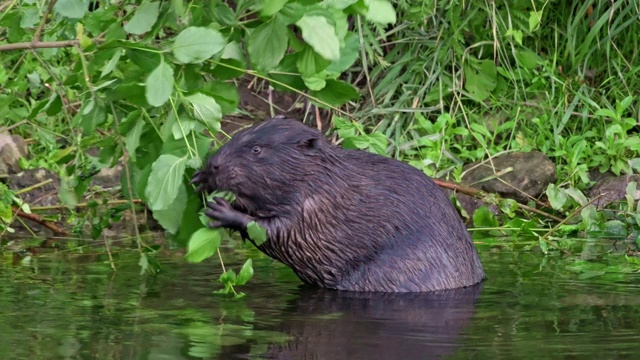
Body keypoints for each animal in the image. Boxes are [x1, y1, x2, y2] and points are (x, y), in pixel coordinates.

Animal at [191, 118, 484, 292]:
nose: (214, 164)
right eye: (237, 137)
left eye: (256, 150)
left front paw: (221, 210)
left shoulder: (318, 209)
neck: (324, 178)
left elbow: (282, 234)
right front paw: (200, 179)